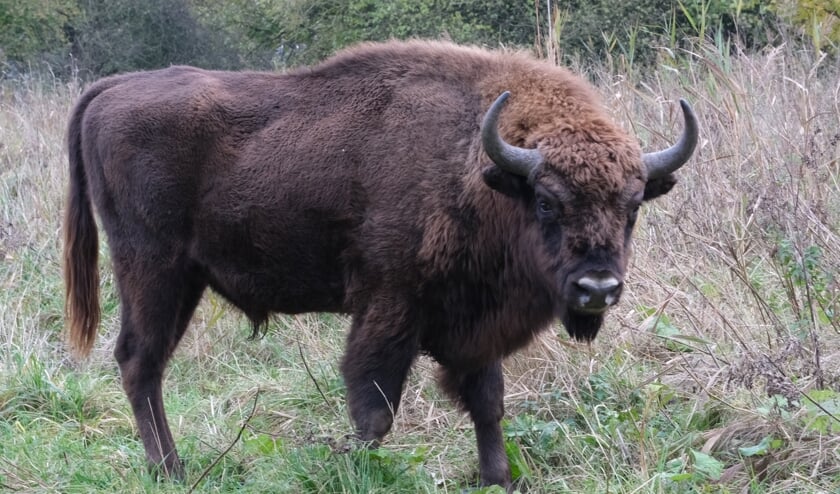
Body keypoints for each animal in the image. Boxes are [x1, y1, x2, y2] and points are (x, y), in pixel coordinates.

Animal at [64, 40, 696, 488]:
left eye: (633, 206)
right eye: (546, 201)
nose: (598, 287)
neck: (476, 163)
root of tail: (113, 87)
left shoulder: (476, 325)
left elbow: (488, 404)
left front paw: (497, 479)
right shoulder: (390, 307)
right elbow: (376, 408)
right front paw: (349, 468)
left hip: (182, 280)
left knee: (145, 364)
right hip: (153, 269)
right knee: (139, 361)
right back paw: (171, 469)